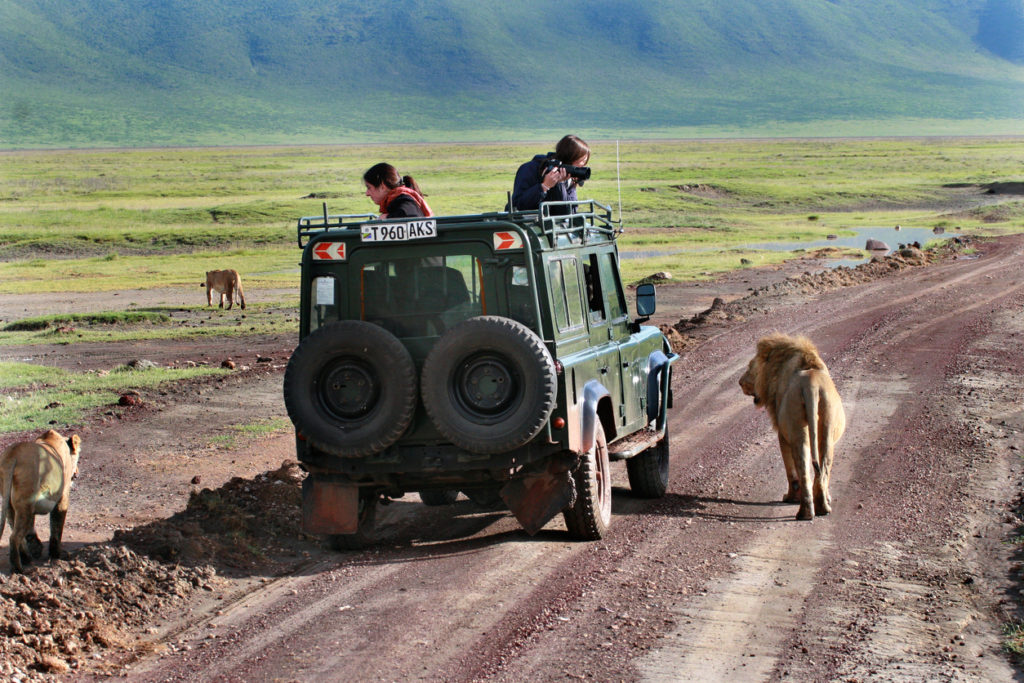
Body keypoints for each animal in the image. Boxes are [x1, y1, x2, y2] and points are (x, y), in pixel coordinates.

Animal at [0, 432, 80, 573]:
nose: (77, 472)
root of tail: (12, 454)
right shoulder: (63, 497)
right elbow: (56, 527)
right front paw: (56, 555)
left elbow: (31, 529)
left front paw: (36, 548)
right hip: (25, 502)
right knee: (14, 537)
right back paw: (19, 568)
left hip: (10, 503)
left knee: (16, 530)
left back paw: (27, 558)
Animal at [741, 333, 843, 520]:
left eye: (750, 366)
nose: (740, 382)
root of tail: (811, 386)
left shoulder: (782, 434)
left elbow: (790, 470)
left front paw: (789, 498)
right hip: (827, 426)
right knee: (823, 467)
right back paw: (822, 507)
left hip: (795, 428)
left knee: (801, 469)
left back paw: (804, 511)